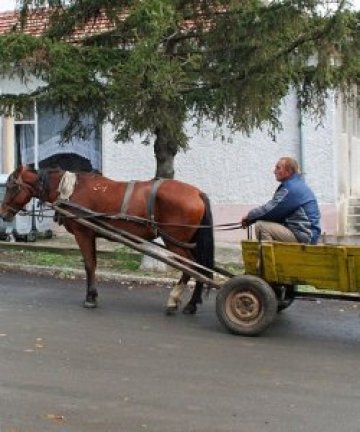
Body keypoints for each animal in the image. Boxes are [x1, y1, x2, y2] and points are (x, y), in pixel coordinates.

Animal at [0, 165, 214, 314]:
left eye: (11, 187)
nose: (3, 214)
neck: (71, 192)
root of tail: (197, 193)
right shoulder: (91, 234)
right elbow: (93, 263)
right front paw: (93, 295)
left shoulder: (83, 233)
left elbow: (89, 265)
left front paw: (90, 298)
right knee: (200, 268)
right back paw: (191, 304)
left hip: (175, 242)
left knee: (193, 268)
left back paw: (175, 300)